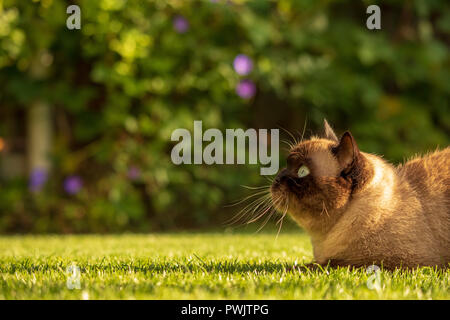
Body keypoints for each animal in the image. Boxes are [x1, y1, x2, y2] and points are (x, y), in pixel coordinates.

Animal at [270, 120, 450, 270]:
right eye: (286, 167)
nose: (277, 179)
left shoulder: (392, 263)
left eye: (302, 171)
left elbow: (322, 265)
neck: (324, 240)